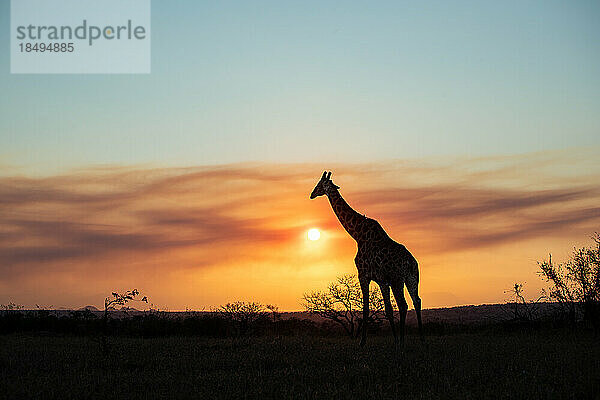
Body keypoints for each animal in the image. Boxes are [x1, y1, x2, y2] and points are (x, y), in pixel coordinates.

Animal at [310, 170, 422, 346]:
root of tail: (410, 262)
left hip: (397, 279)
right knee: (417, 301)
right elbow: (388, 310)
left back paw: (403, 343)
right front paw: (394, 339)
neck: (357, 234)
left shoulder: (363, 274)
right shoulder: (382, 280)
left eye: (319, 184)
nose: (311, 194)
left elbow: (366, 308)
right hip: (411, 278)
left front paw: (362, 342)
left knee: (404, 305)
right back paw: (421, 340)